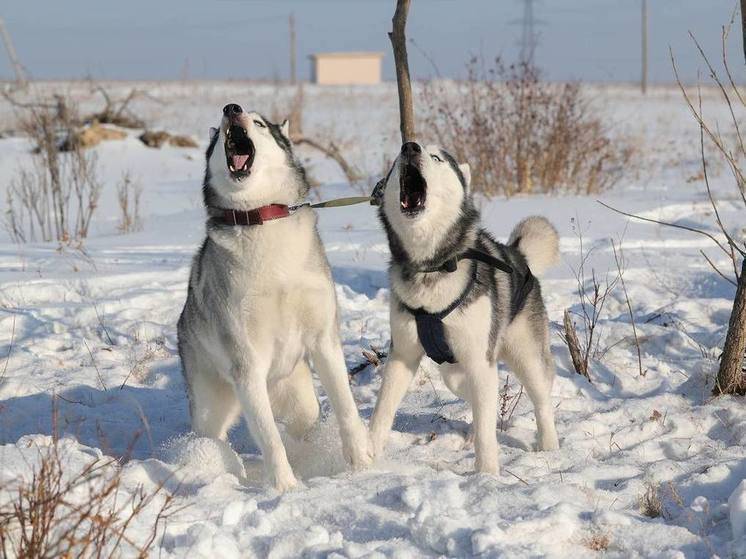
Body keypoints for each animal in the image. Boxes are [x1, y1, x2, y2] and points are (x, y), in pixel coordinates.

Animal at [175, 105, 372, 490]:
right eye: (221, 128)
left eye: (260, 123)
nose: (231, 108)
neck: (261, 220)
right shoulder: (247, 364)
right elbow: (269, 439)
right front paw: (285, 487)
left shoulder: (324, 340)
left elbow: (346, 408)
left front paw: (362, 463)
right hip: (214, 405)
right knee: (215, 436)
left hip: (299, 399)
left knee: (303, 425)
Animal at [370, 142, 556, 474]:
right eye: (395, 162)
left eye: (437, 158)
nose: (410, 146)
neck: (431, 267)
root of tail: (519, 255)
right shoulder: (402, 354)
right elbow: (382, 410)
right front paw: (365, 457)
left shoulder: (480, 360)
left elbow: (486, 425)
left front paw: (487, 475)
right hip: (456, 370)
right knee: (475, 398)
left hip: (522, 354)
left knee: (541, 398)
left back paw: (550, 446)